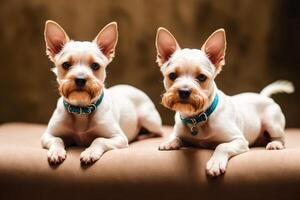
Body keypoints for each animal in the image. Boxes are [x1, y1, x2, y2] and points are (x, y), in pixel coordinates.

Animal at [156, 26, 294, 177]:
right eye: (172, 75)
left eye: (202, 77)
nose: (184, 91)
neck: (197, 119)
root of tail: (264, 96)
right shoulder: (179, 132)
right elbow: (175, 136)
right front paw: (169, 142)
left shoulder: (239, 140)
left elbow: (222, 146)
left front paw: (215, 163)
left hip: (272, 122)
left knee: (280, 138)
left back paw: (275, 144)